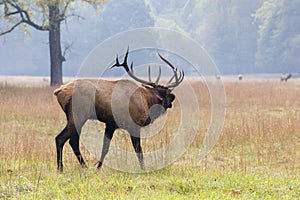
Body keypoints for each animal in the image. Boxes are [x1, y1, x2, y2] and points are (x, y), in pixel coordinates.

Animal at [54, 47, 185, 171]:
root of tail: (58, 91)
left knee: (72, 140)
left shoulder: (110, 124)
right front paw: (144, 169)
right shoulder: (134, 125)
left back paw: (81, 167)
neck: (147, 103)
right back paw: (62, 168)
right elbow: (139, 150)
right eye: (167, 93)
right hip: (78, 115)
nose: (173, 98)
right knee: (62, 139)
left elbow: (105, 148)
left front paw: (98, 168)